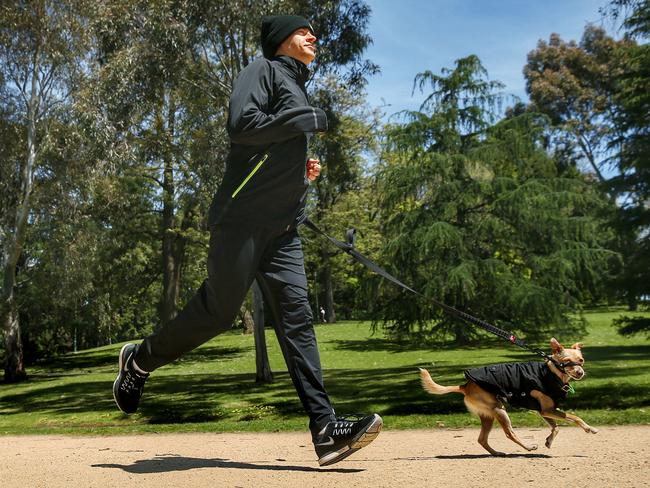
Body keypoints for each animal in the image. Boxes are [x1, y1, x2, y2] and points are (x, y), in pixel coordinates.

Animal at [420, 338, 596, 456]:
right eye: (566, 361)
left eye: (581, 360)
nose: (580, 372)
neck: (551, 374)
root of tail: (465, 386)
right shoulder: (547, 410)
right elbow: (574, 417)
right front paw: (589, 428)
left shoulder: (545, 411)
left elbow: (556, 427)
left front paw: (549, 441)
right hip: (500, 410)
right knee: (510, 433)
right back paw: (528, 448)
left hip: (488, 415)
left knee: (482, 439)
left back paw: (496, 453)